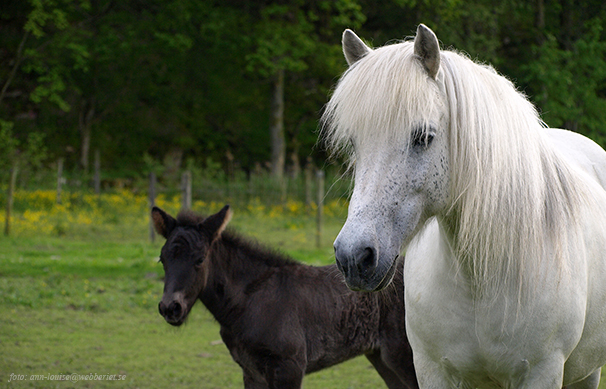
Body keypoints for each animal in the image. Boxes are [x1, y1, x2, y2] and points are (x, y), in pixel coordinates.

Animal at [326, 24, 606, 388]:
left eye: (423, 137)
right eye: (354, 142)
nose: (354, 257)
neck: (479, 281)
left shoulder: (541, 373)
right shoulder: (431, 370)